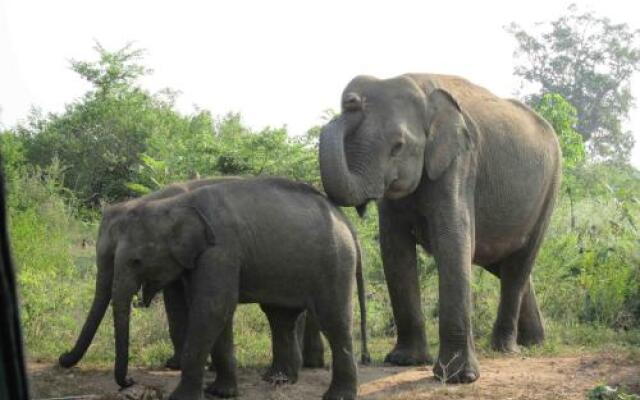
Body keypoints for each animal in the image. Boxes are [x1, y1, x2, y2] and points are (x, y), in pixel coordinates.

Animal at [112, 179, 368, 400]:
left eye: (136, 261)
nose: (129, 381)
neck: (177, 203)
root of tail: (345, 220)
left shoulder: (220, 250)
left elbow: (212, 308)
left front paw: (181, 398)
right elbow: (217, 311)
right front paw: (220, 393)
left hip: (335, 263)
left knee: (333, 319)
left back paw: (337, 395)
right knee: (280, 317)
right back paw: (278, 379)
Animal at [318, 73, 560, 382]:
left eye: (398, 146)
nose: (352, 101)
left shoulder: (460, 162)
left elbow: (453, 241)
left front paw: (458, 378)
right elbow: (394, 250)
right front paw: (404, 361)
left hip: (549, 191)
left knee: (519, 264)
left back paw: (506, 348)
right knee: (505, 265)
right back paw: (533, 342)